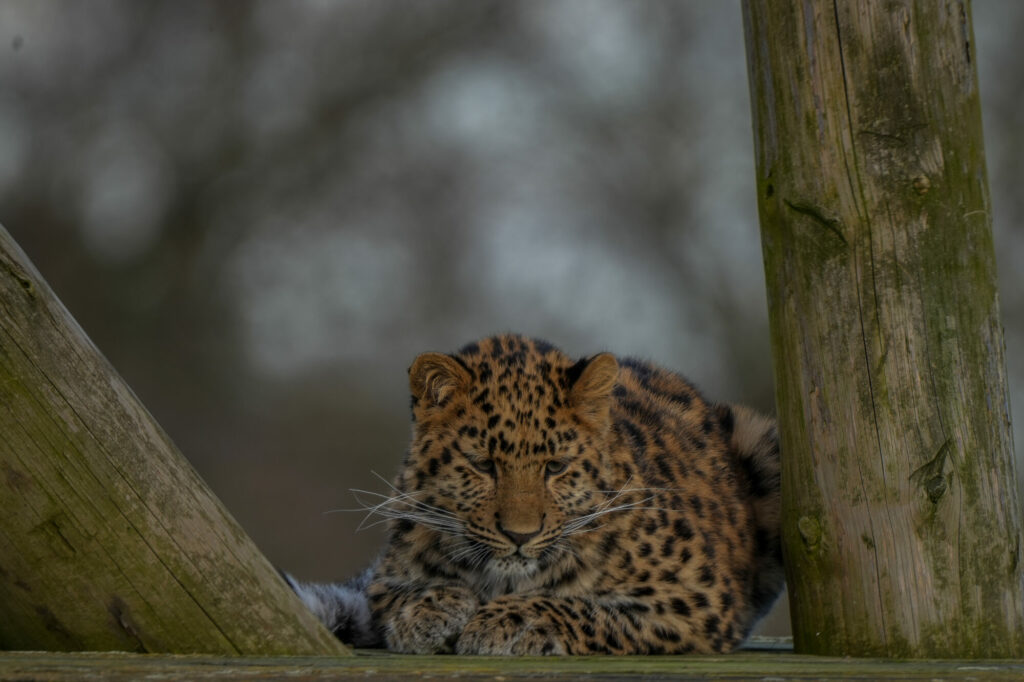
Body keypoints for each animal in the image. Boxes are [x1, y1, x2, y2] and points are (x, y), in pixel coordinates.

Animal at [288, 333, 783, 655]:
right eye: (484, 465)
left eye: (556, 467)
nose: (520, 536)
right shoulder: (386, 577)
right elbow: (402, 594)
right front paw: (428, 610)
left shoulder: (696, 598)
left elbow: (580, 606)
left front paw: (508, 620)